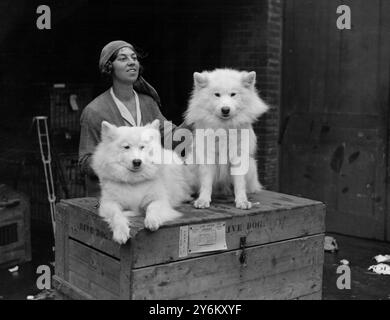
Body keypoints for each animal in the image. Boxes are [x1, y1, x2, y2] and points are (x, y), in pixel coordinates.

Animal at [184, 68, 270, 210]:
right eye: (217, 95)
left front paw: (242, 201)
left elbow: (239, 184)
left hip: (251, 166)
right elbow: (206, 183)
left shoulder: (238, 156)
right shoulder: (208, 156)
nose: (225, 110)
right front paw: (203, 200)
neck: (224, 128)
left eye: (233, 94)